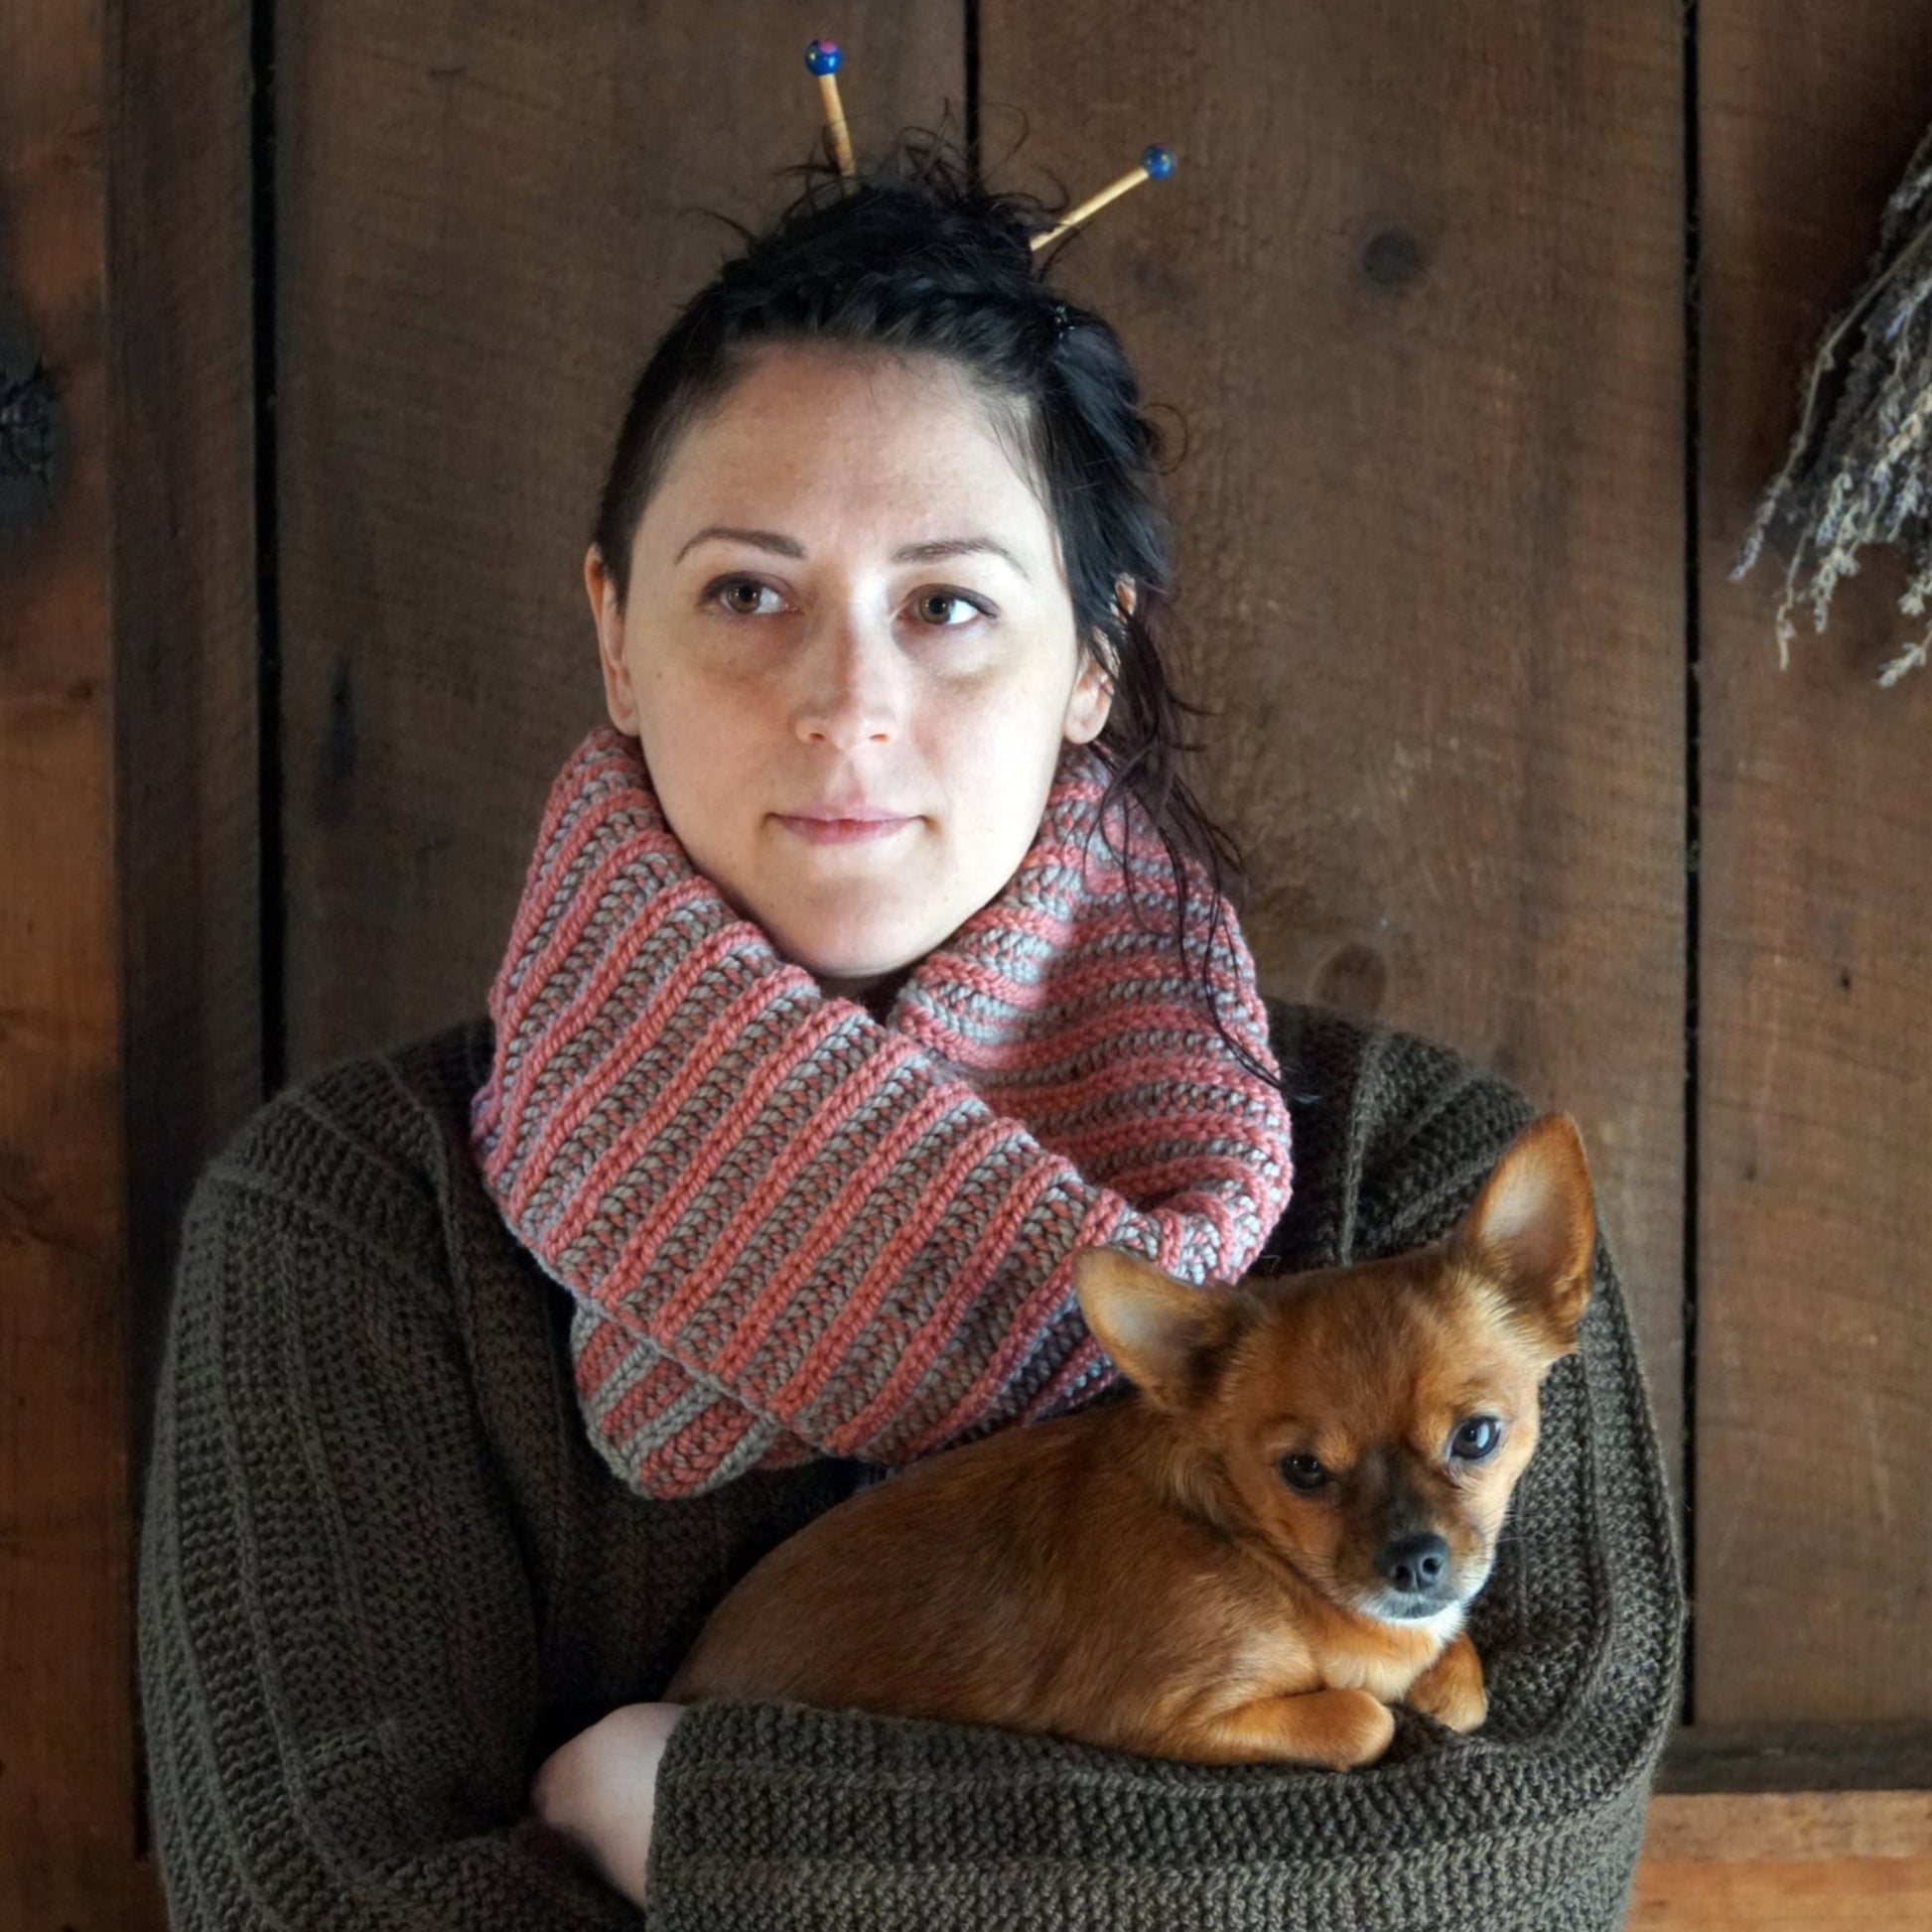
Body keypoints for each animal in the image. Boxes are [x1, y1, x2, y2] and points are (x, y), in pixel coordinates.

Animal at [672, 1120, 1591, 1769]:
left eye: (1477, 1437)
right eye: (1302, 1471)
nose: (1414, 1561)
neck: (1253, 1552)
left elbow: (1459, 1680)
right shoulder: (1158, 1713)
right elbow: (1363, 1717)